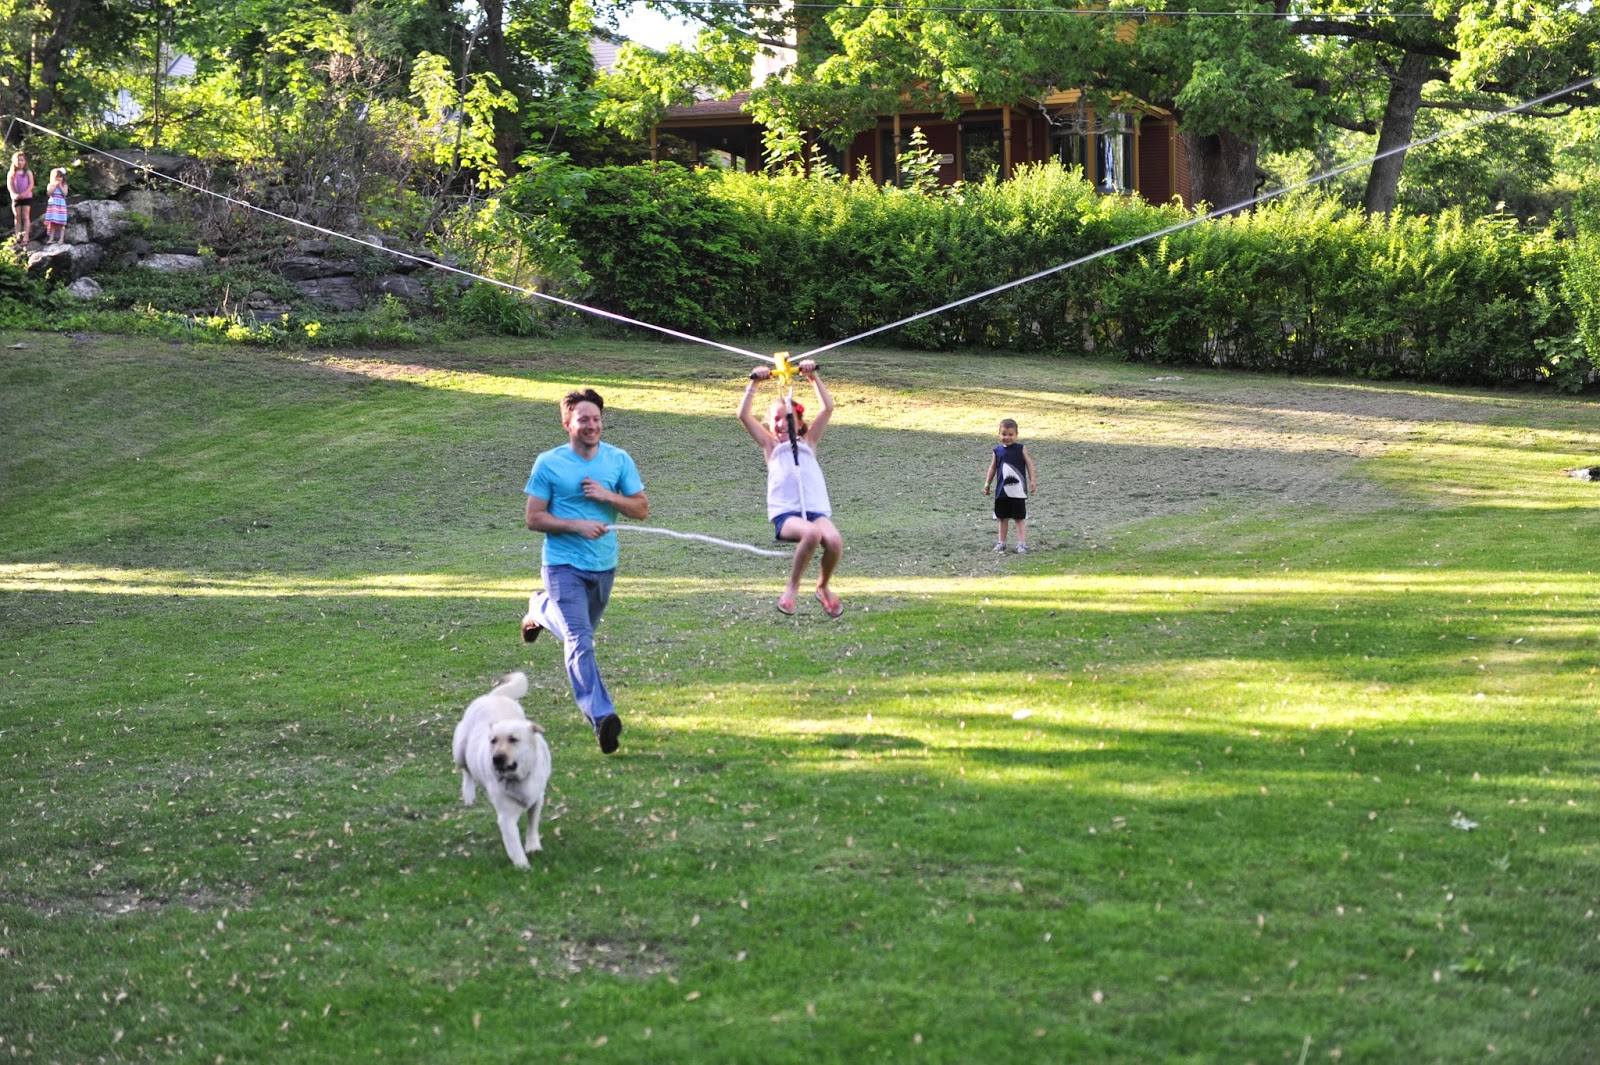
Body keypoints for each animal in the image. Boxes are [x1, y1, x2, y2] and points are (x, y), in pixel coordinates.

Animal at [451, 672, 552, 868]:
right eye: (493, 741)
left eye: (513, 739)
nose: (496, 758)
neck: (520, 778)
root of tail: (493, 696)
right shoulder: (506, 818)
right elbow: (514, 847)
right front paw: (523, 866)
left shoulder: (537, 800)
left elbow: (532, 825)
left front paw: (533, 846)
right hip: (459, 750)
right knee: (466, 770)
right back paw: (468, 794)